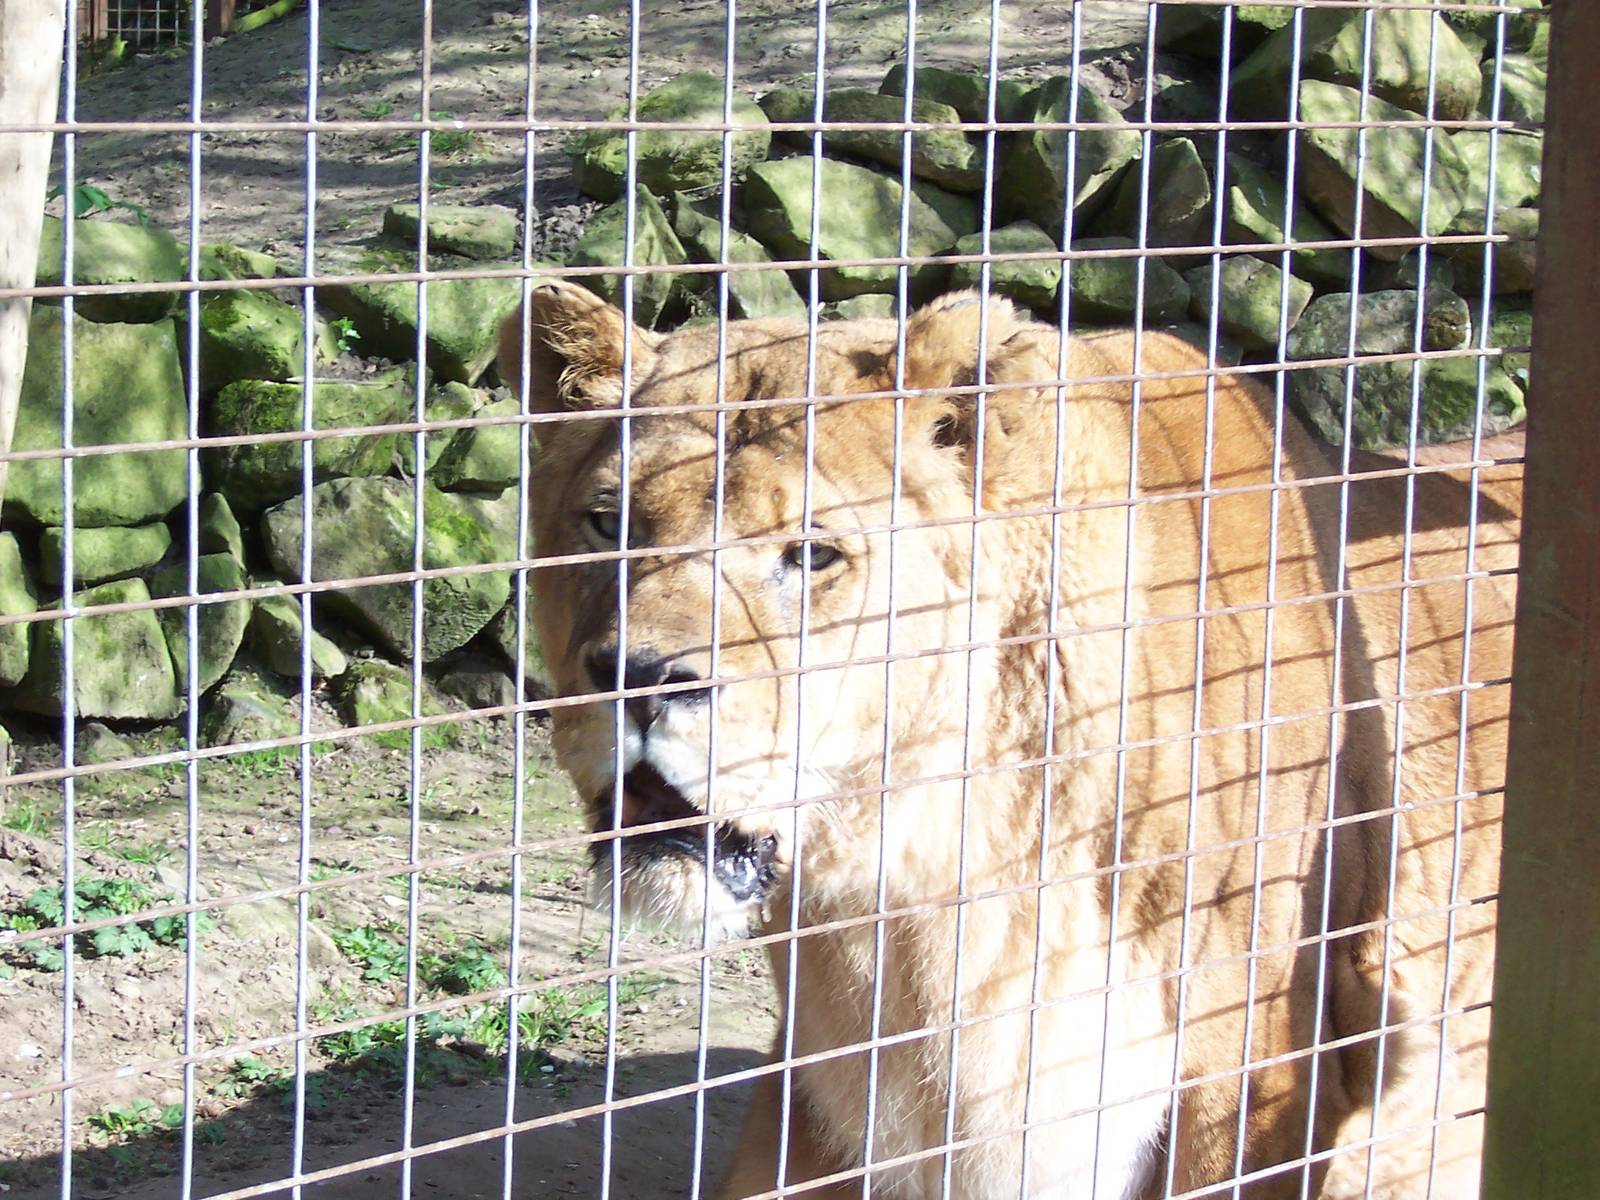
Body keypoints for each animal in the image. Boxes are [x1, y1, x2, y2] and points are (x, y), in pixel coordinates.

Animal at [498, 280, 1518, 1199]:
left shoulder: (1256, 1084)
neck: (931, 890)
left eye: (813, 554)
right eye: (608, 522)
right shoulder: (825, 1102)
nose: (637, 678)